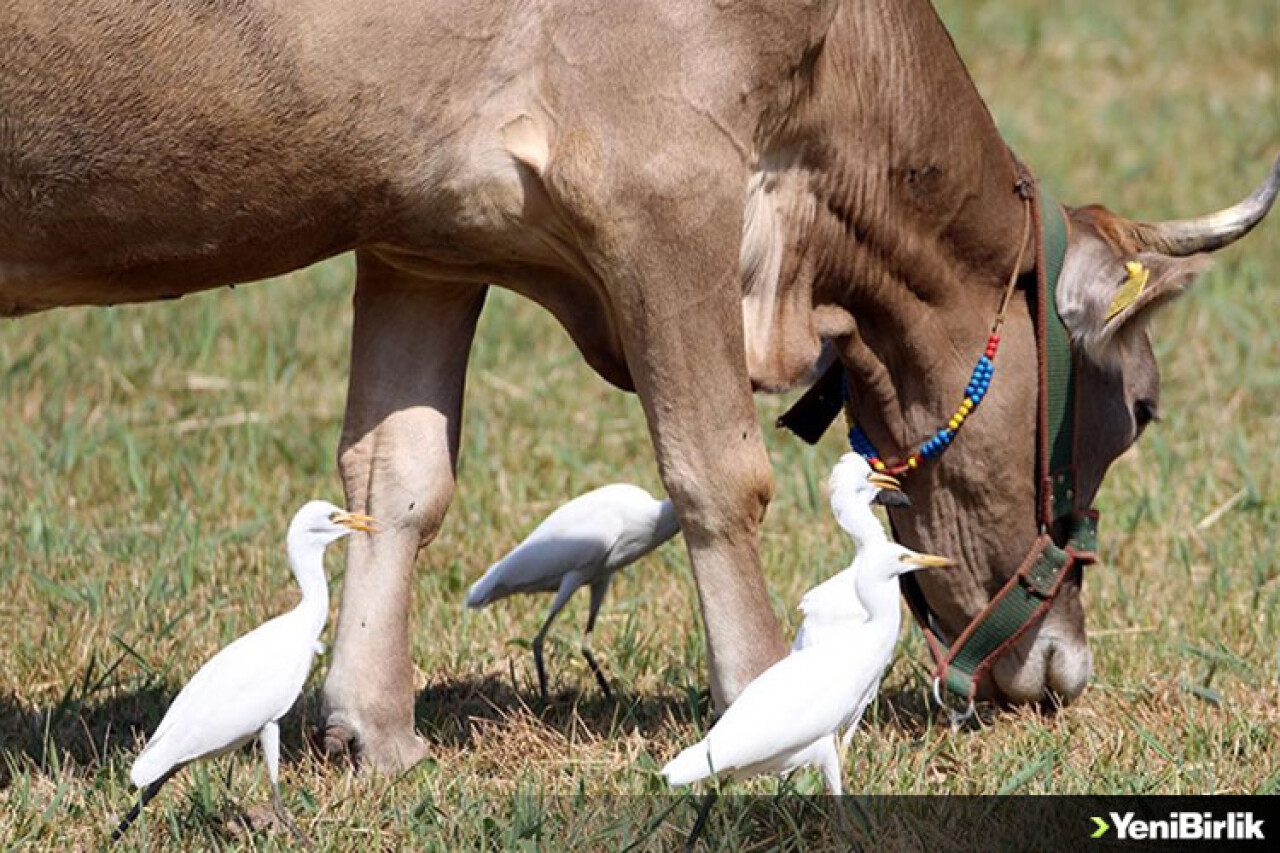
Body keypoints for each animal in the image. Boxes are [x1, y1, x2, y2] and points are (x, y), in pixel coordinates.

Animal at [0, 0, 1274, 768]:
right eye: (1140, 406)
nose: (1064, 670)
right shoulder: (661, 175)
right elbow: (721, 471)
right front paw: (763, 700)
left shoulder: (421, 230)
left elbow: (399, 474)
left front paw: (376, 730)